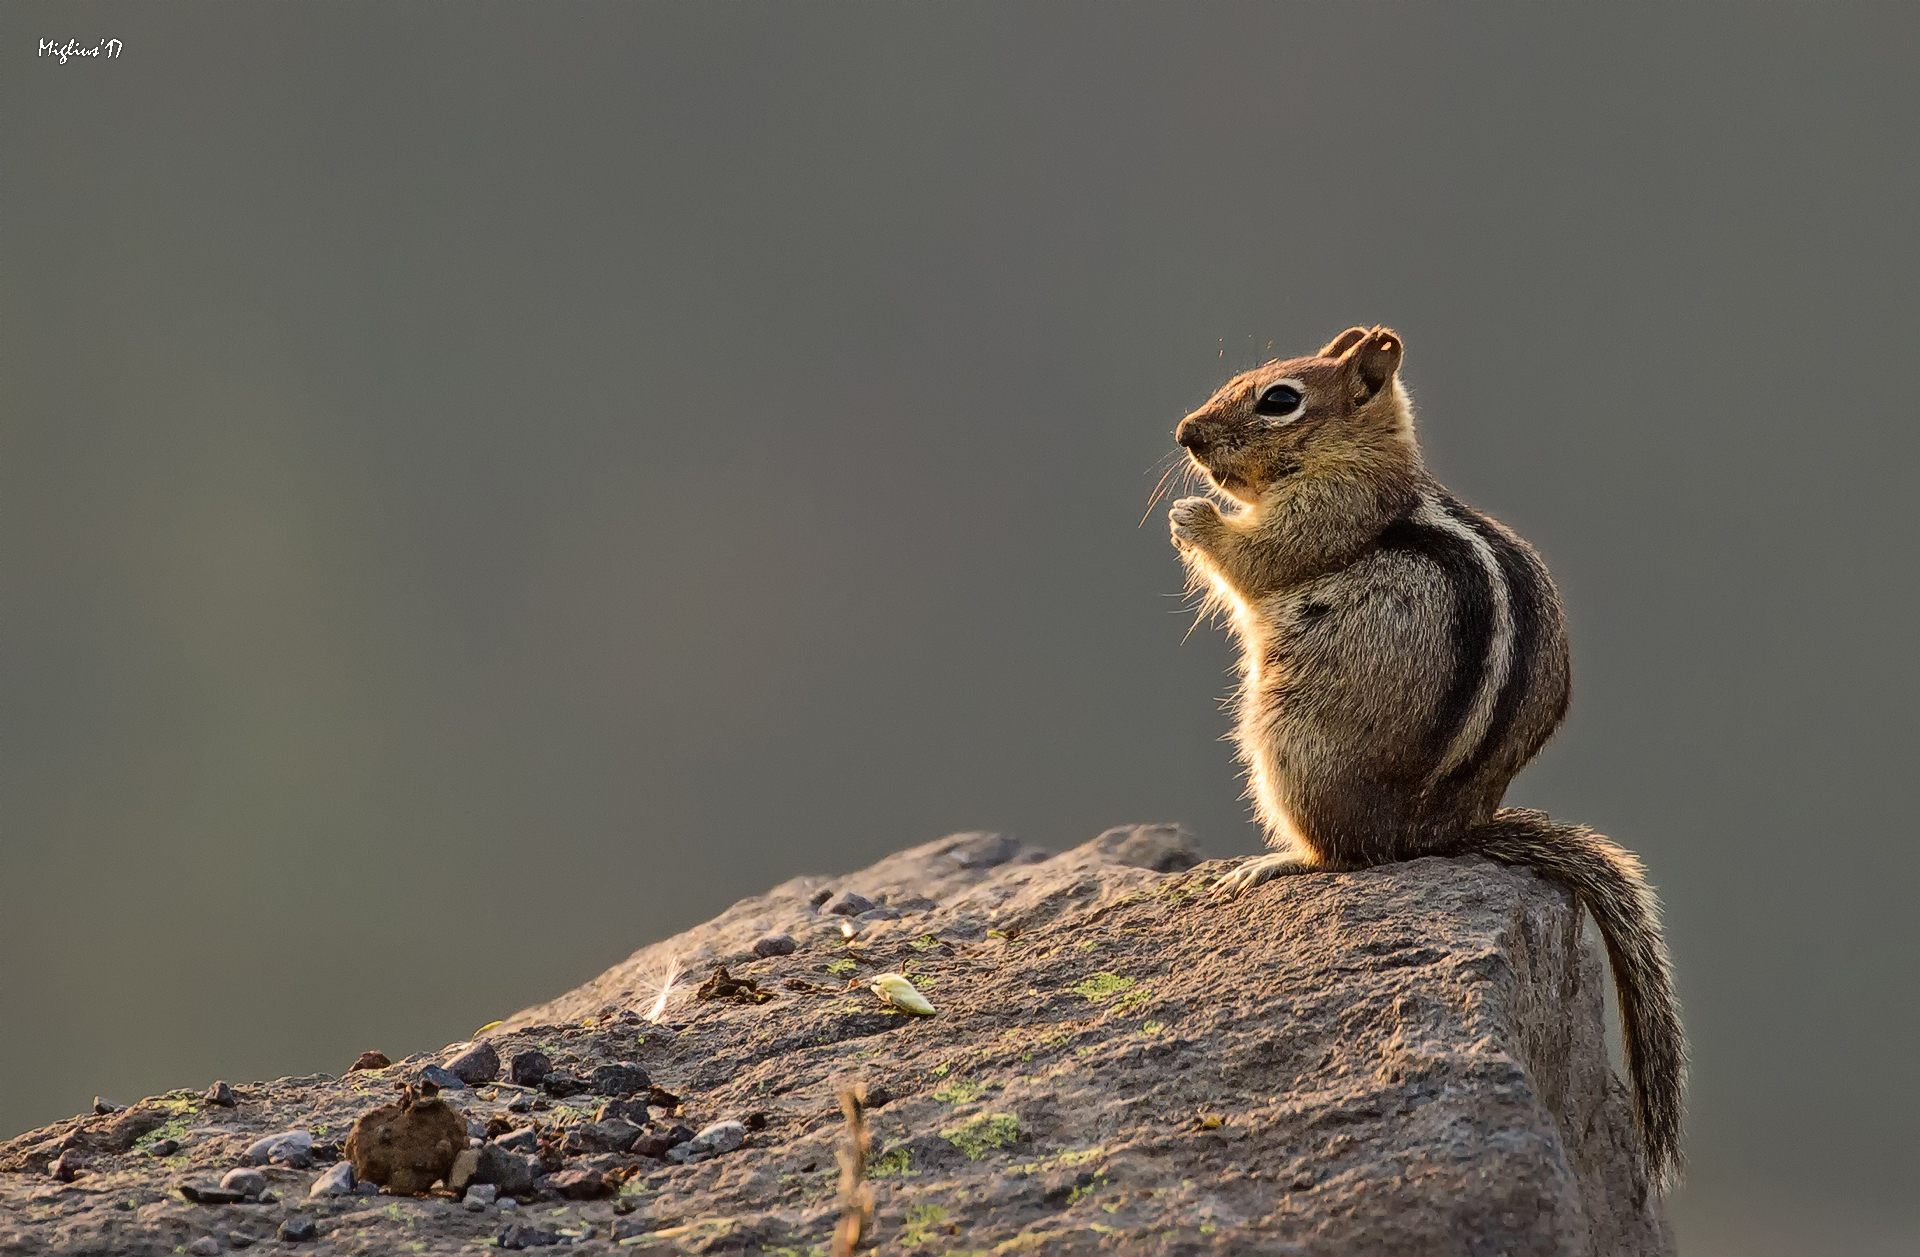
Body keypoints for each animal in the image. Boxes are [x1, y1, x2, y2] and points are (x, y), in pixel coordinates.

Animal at [1167, 325, 1686, 1186]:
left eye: (1279, 399)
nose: (1185, 434)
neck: (1364, 460)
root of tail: (1436, 834)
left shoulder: (1324, 516)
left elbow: (1260, 559)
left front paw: (1192, 515)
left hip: (1284, 745)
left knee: (1344, 857)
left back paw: (1274, 864)